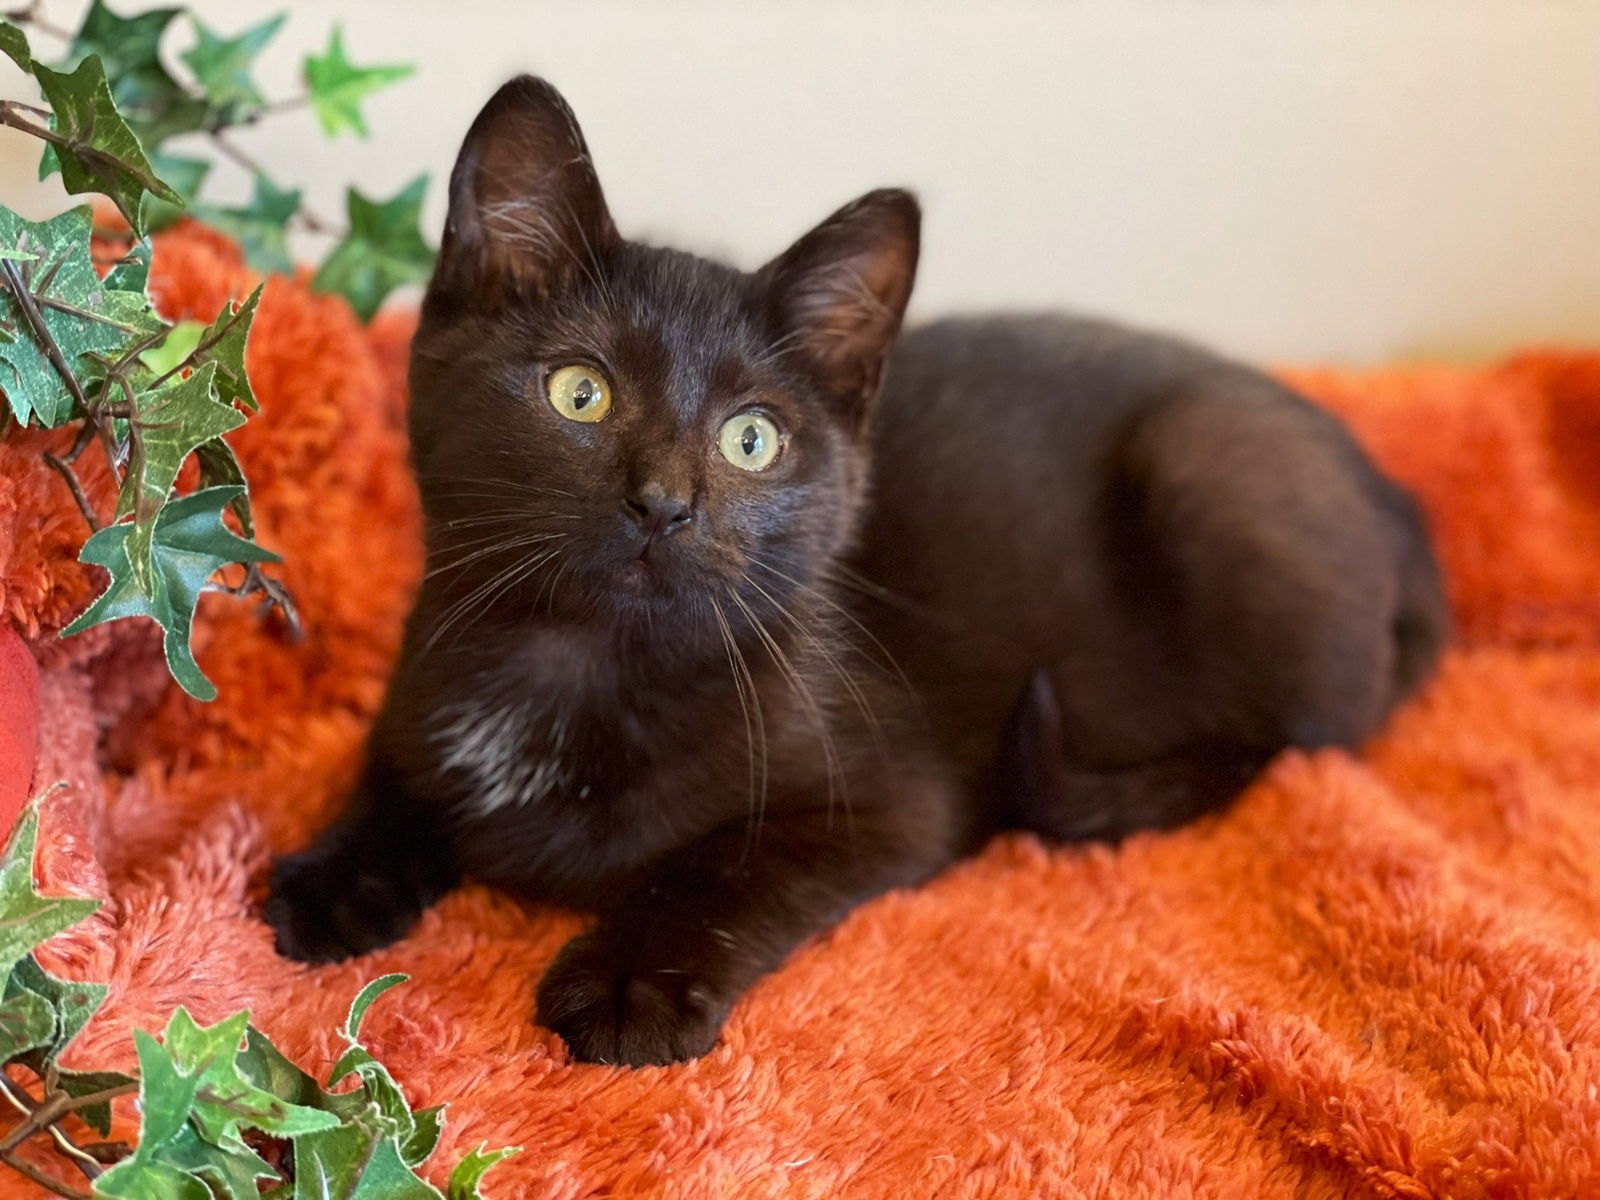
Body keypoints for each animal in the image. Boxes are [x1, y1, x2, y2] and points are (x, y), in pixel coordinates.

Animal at [265, 77, 1452, 1068]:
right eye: (578, 393)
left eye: (752, 440)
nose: (663, 502)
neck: (577, 662)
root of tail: (1403, 508)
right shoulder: (422, 675)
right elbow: (396, 776)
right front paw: (332, 880)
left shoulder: (889, 802)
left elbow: (720, 869)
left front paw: (627, 982)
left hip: (1209, 474)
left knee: (1301, 736)